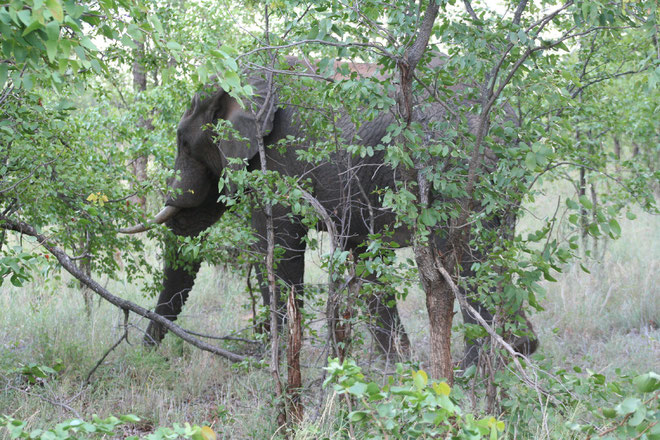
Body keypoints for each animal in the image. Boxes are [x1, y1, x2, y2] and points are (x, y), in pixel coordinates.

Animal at [122, 55, 536, 364]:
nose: (145, 354)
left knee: (464, 255)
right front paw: (391, 366)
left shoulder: (279, 160)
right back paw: (520, 353)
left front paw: (270, 361)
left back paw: (474, 370)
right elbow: (364, 256)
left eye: (182, 141)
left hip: (460, 167)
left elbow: (277, 250)